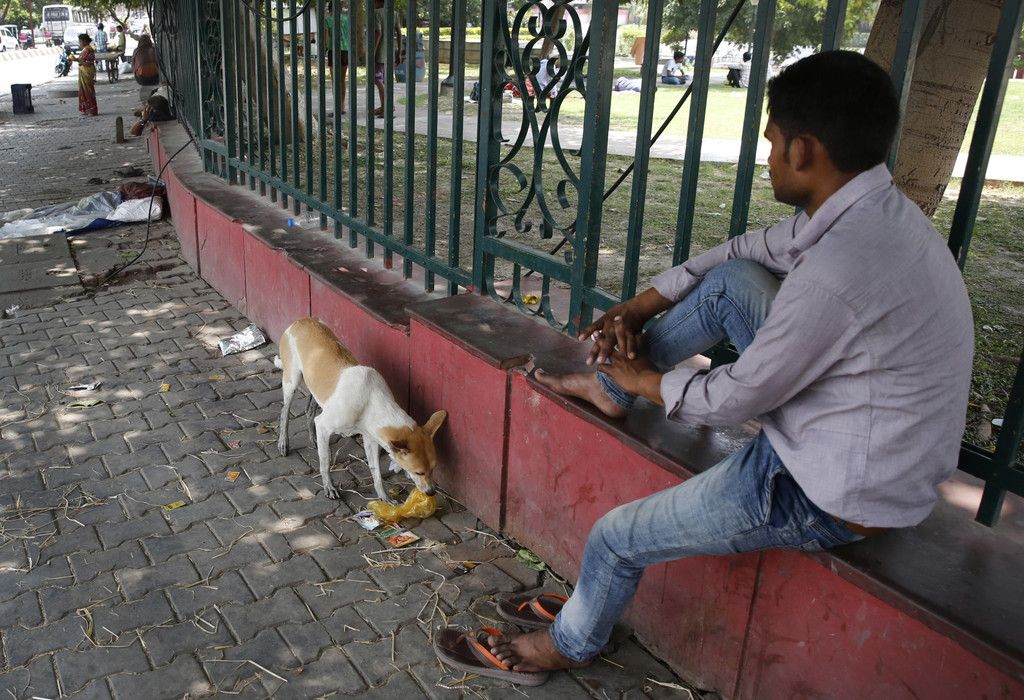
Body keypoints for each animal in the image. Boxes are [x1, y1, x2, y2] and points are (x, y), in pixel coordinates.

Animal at [274, 317, 446, 503]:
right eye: (418, 472)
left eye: (434, 468)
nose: (431, 492)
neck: (370, 400)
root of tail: (302, 320)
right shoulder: (323, 425)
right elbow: (325, 463)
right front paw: (328, 487)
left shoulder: (371, 439)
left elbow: (376, 474)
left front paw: (384, 498)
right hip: (292, 381)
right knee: (284, 412)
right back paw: (283, 443)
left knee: (309, 409)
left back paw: (313, 439)